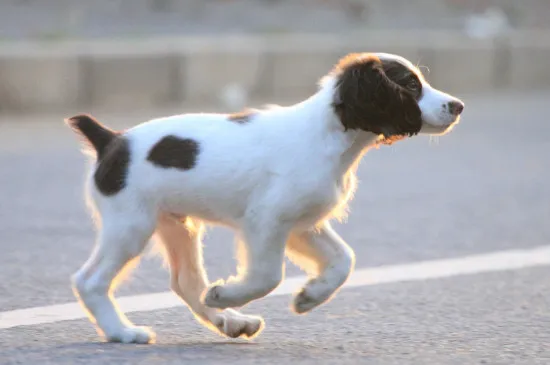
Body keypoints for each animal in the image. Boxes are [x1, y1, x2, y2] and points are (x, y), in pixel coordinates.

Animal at [68, 51, 466, 342]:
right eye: (411, 85)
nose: (458, 106)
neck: (330, 136)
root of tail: (111, 140)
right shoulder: (267, 219)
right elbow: (269, 276)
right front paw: (228, 293)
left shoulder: (303, 223)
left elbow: (344, 259)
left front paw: (310, 296)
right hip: (131, 224)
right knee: (90, 280)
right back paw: (123, 332)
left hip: (177, 224)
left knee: (186, 283)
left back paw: (230, 322)